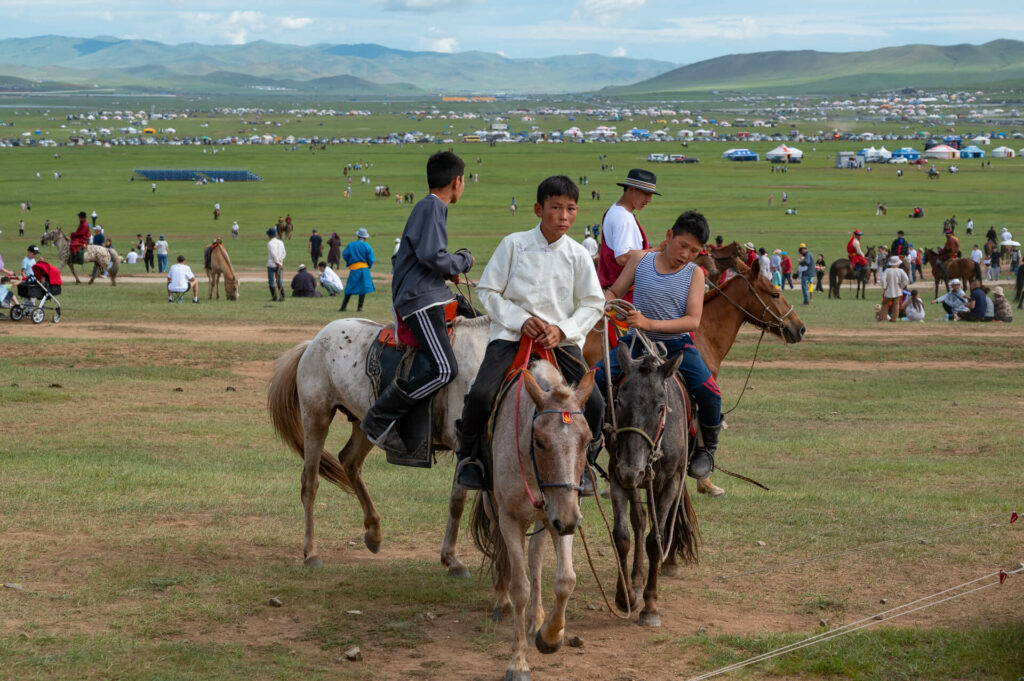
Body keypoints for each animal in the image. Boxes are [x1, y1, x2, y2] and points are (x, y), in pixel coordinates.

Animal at [610, 346, 700, 626]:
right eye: (618, 402)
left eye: (661, 407)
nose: (632, 469)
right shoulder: (618, 477)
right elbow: (623, 537)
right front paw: (626, 596)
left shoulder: (669, 483)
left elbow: (654, 539)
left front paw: (650, 607)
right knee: (640, 520)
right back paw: (637, 579)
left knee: (665, 523)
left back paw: (667, 562)